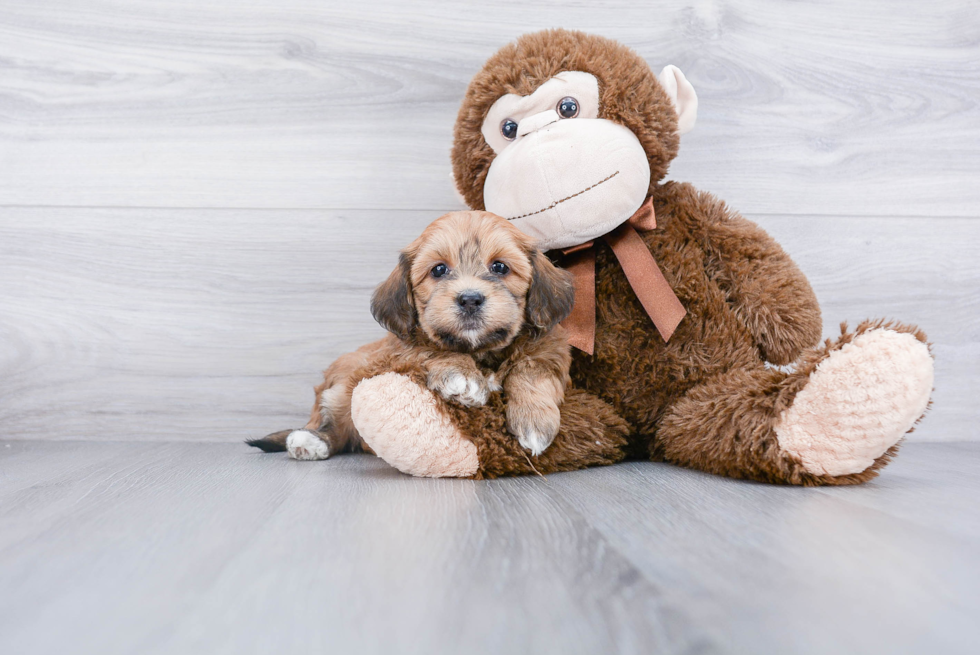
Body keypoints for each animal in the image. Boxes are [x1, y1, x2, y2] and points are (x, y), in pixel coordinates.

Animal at [249, 210, 580, 462]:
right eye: (439, 270)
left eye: (500, 267)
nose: (470, 299)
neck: (479, 351)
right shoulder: (400, 350)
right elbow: (430, 349)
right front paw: (462, 376)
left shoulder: (550, 350)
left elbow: (532, 371)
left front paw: (534, 420)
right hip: (343, 386)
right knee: (338, 424)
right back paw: (310, 441)